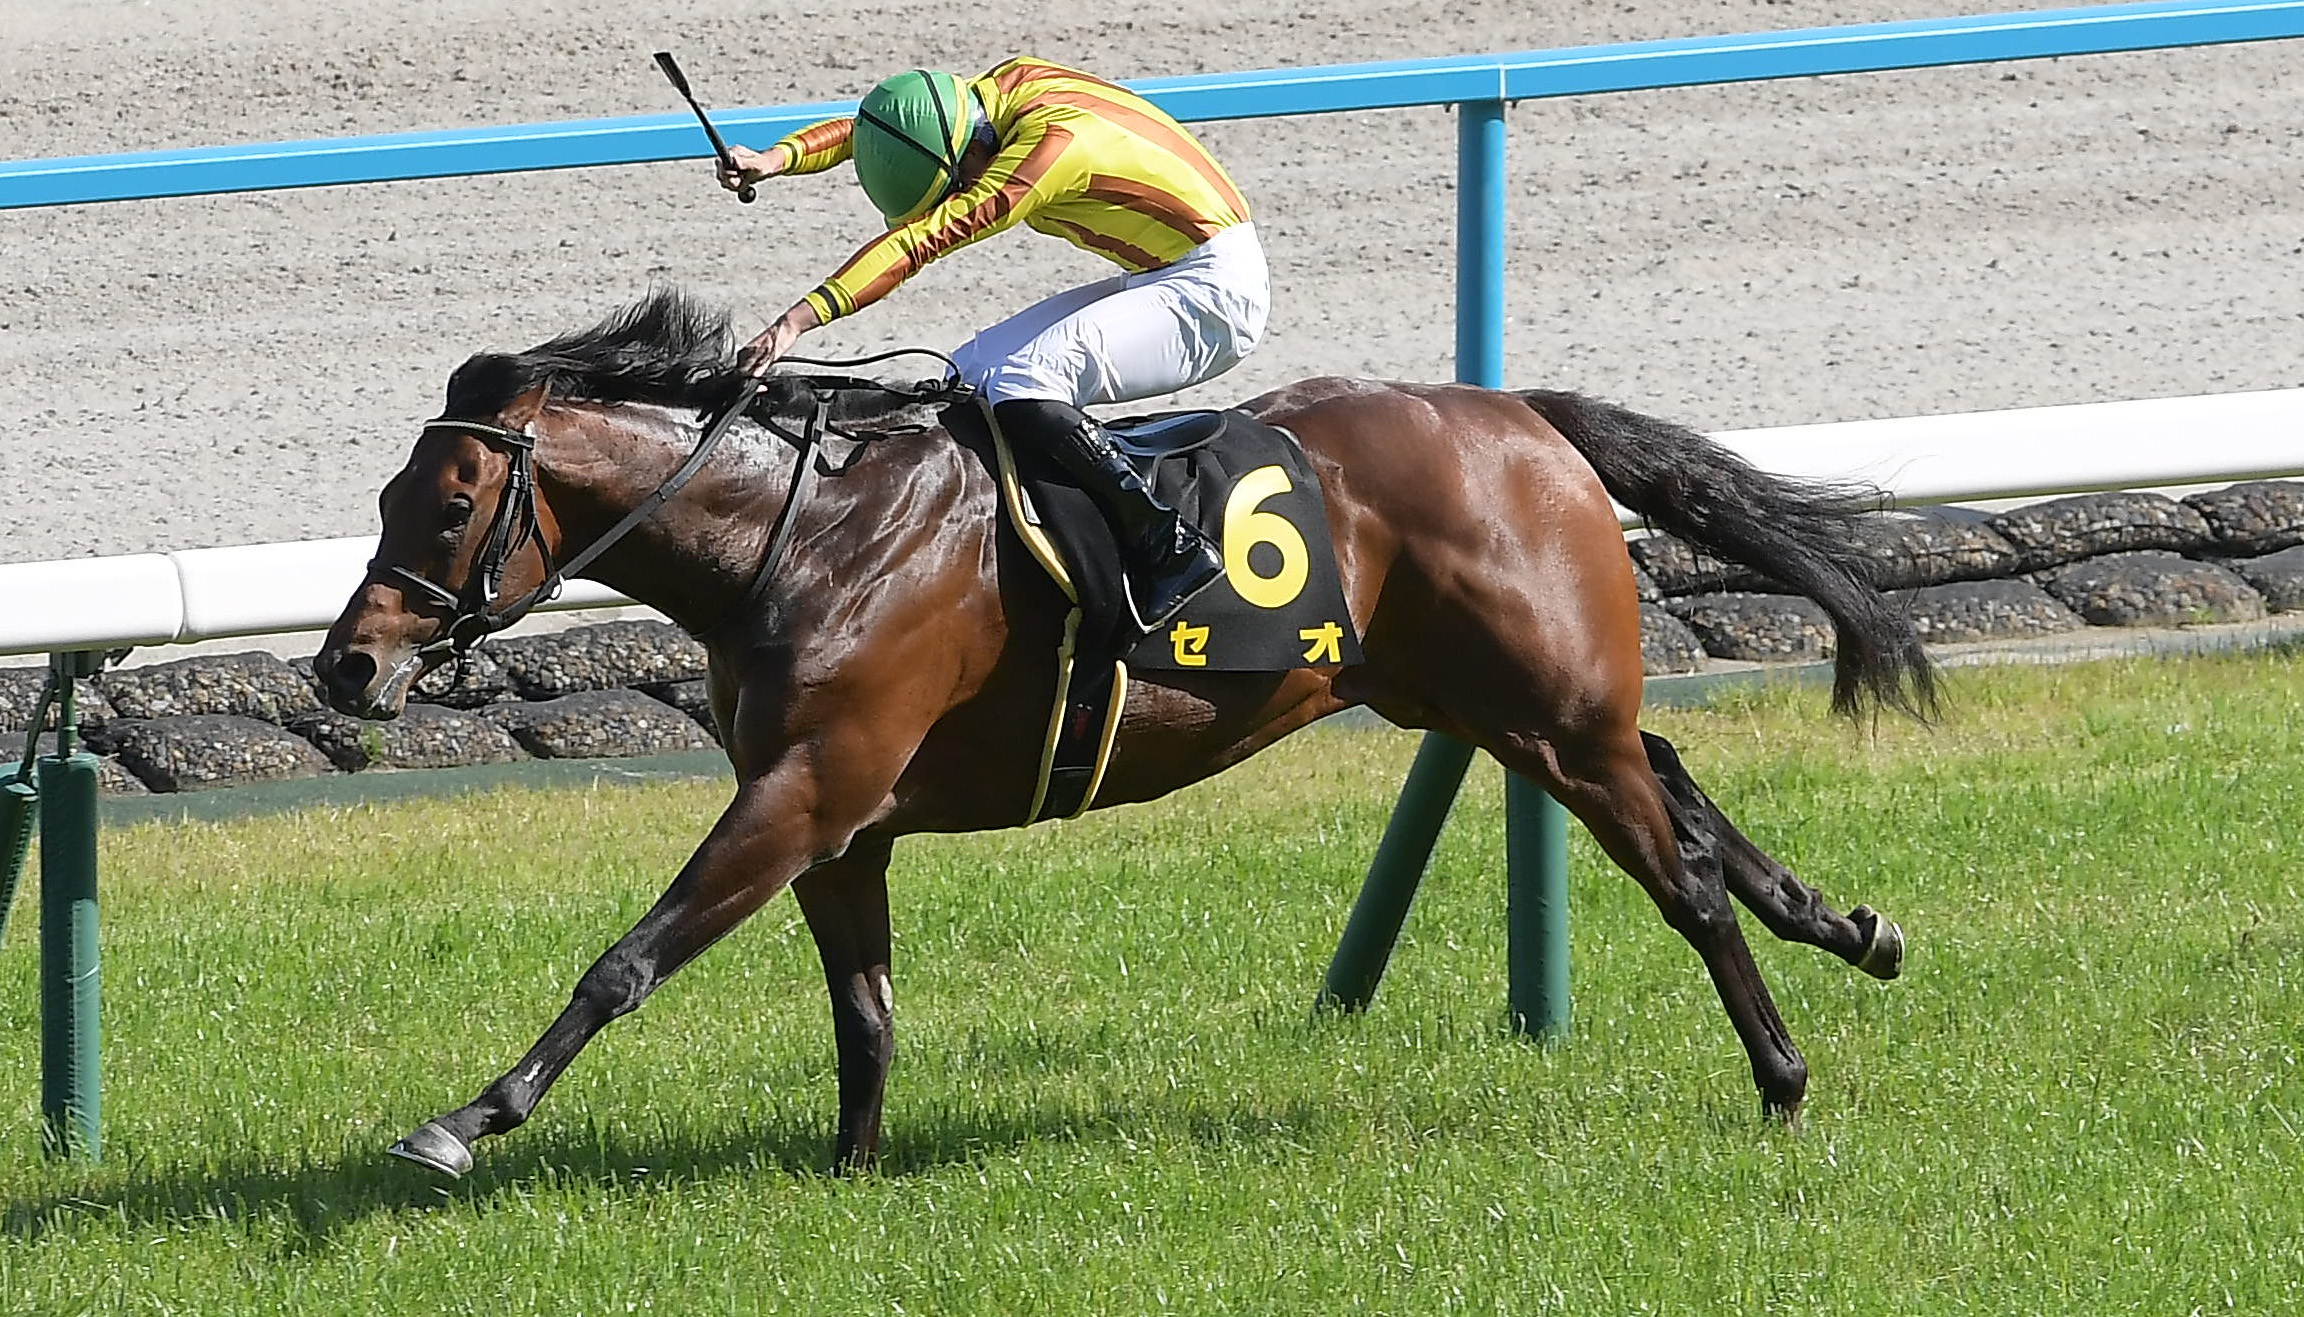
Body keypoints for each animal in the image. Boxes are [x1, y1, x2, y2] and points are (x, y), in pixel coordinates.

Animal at [313, 288, 1933, 1178]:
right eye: (385, 497)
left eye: (446, 506)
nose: (343, 667)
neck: (807, 534)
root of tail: (1524, 418)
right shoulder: (838, 818)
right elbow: (863, 1010)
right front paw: (847, 1173)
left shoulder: (805, 787)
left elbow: (627, 958)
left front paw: (467, 1117)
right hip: (1495, 705)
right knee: (1680, 784)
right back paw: (1848, 924)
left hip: (1548, 714)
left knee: (1685, 879)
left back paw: (1783, 1078)